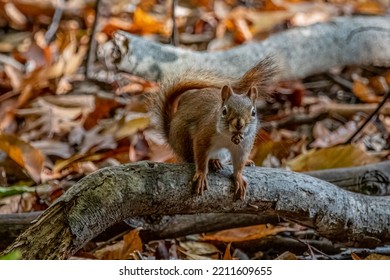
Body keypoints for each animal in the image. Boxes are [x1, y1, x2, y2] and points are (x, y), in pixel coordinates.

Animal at [151, 59, 276, 199]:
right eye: (224, 111)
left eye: (254, 112)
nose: (239, 124)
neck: (229, 137)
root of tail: (170, 131)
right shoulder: (204, 135)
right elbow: (200, 155)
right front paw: (201, 174)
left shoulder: (244, 145)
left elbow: (239, 163)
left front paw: (238, 176)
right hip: (183, 139)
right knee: (190, 157)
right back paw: (213, 161)